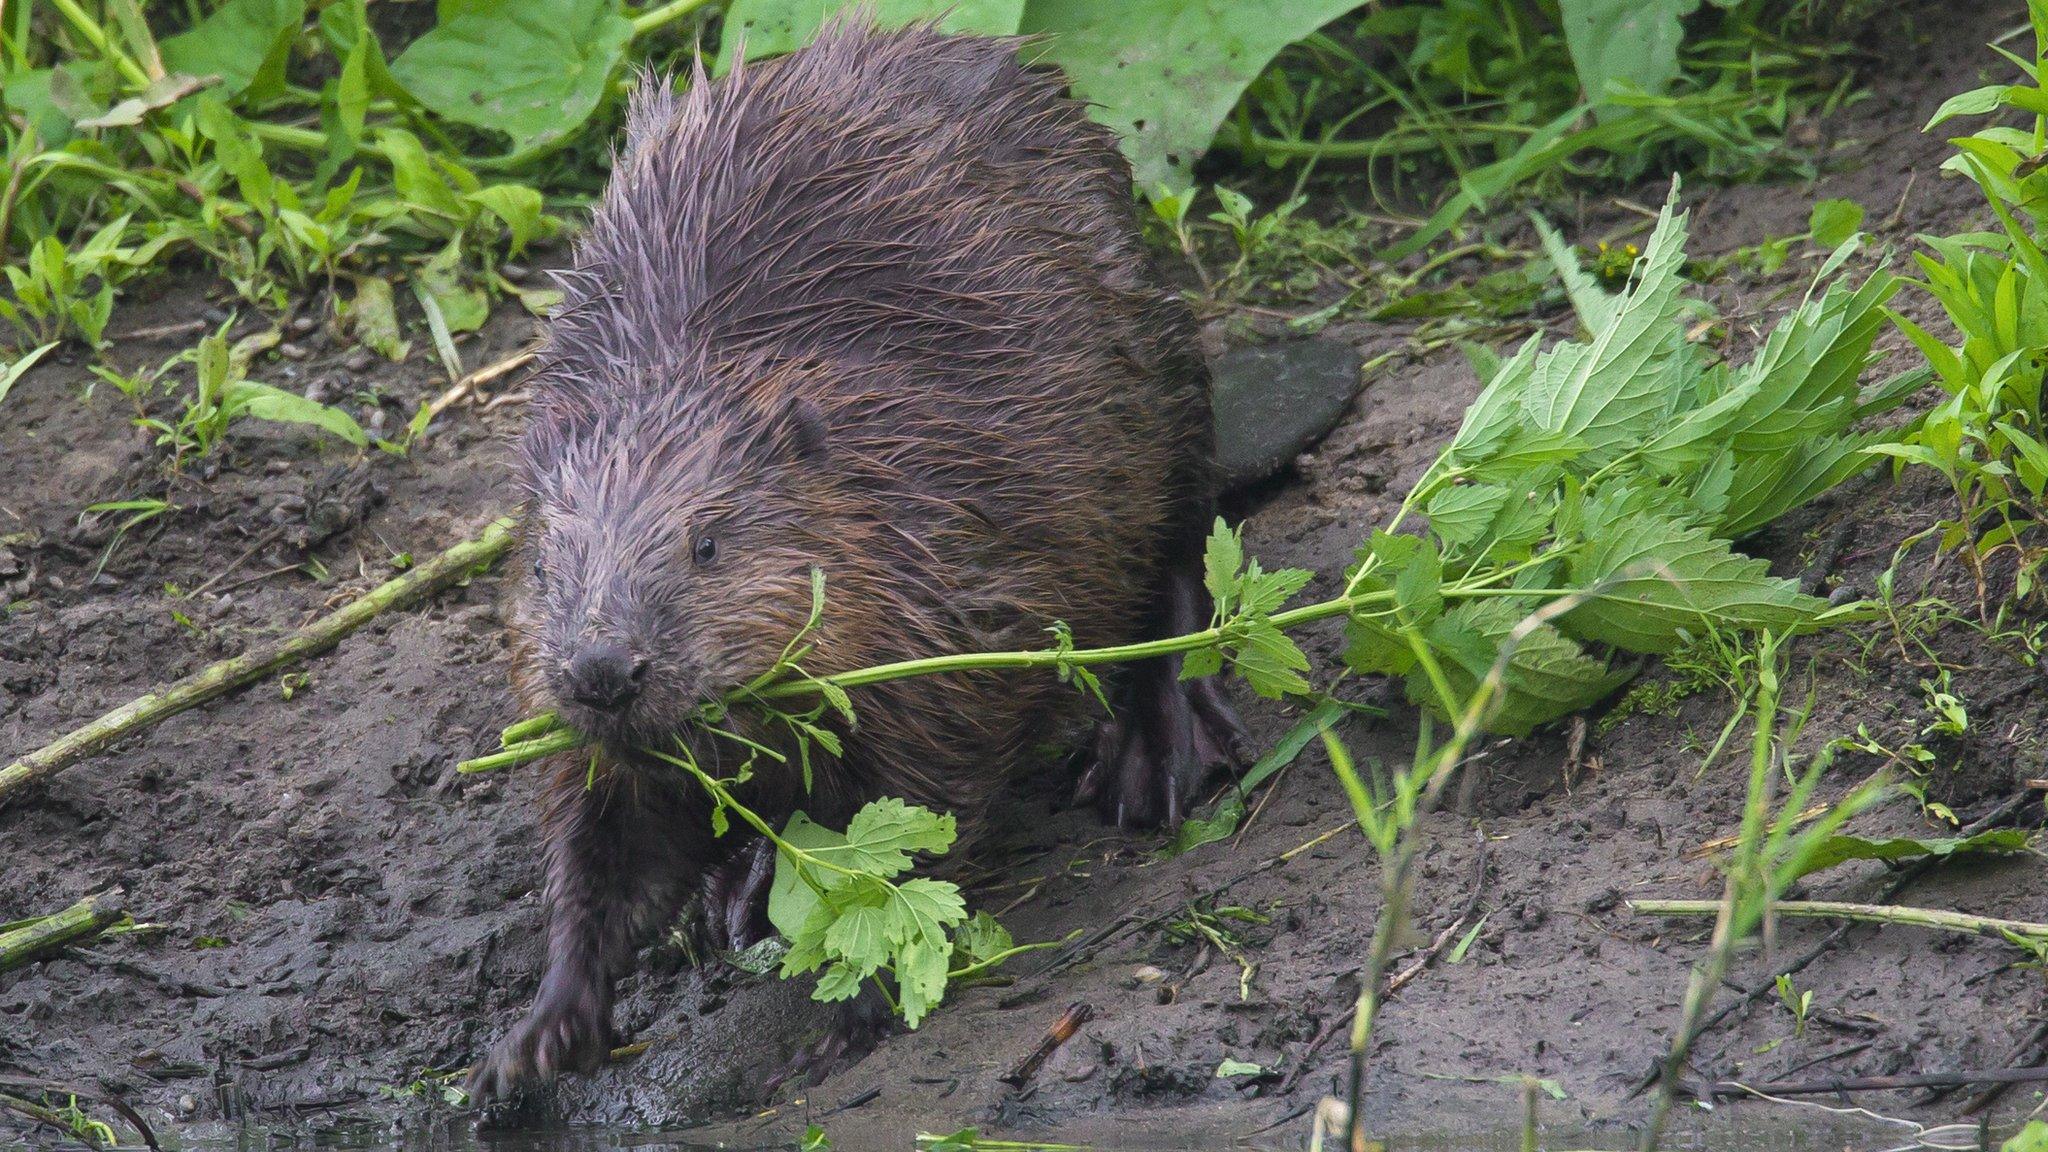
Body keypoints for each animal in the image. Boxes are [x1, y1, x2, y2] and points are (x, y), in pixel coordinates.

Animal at [471, 15, 1245, 1090]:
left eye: (707, 542)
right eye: (546, 570)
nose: (603, 670)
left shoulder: (958, 580)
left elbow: (920, 822)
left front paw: (843, 1025)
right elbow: (604, 851)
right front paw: (532, 1041)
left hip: (1156, 366)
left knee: (1179, 547)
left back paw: (1156, 750)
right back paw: (741, 884)